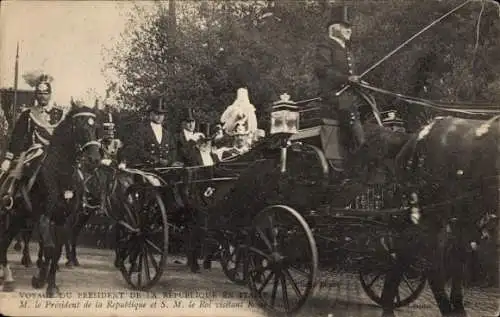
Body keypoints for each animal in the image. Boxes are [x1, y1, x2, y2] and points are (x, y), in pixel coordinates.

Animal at [3, 103, 101, 296]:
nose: (94, 159)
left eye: (95, 127)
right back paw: (9, 278)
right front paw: (40, 279)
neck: (61, 174)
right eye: (79, 126)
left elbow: (56, 251)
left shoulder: (64, 220)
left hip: (19, 218)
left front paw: (51, 285)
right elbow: (48, 248)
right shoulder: (44, 217)